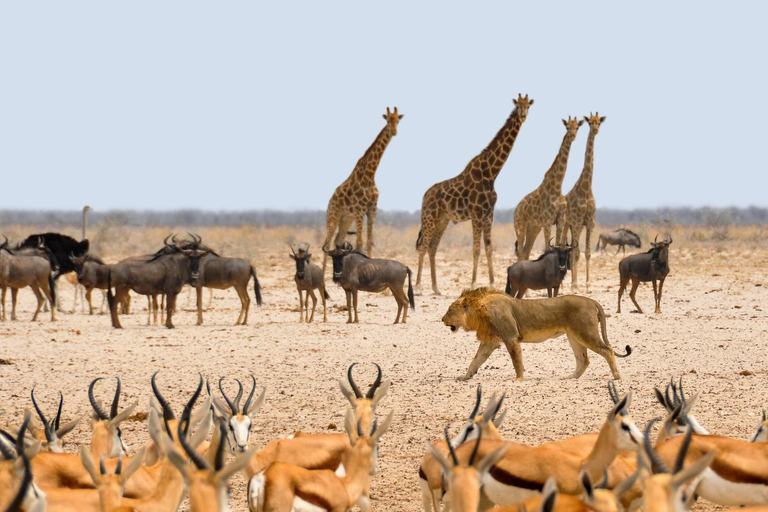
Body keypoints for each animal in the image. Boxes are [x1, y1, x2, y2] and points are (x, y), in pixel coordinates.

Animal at [320, 107, 402, 272]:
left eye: (398, 120)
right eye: (387, 120)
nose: (394, 131)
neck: (370, 175)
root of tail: (330, 200)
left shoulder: (372, 209)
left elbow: (369, 242)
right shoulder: (359, 210)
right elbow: (359, 243)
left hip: (346, 219)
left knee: (338, 241)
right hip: (333, 216)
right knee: (327, 242)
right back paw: (323, 275)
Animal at [414, 93, 536, 294]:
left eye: (529, 106)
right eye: (518, 106)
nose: (524, 116)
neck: (491, 173)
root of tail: (424, 196)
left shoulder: (488, 214)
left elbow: (489, 248)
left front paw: (492, 283)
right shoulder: (477, 213)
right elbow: (476, 249)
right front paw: (473, 283)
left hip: (442, 220)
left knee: (432, 247)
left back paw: (436, 288)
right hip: (429, 217)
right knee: (423, 246)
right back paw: (417, 287)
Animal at [440, 288, 632, 380]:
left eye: (449, 310)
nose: (442, 319)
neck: (480, 310)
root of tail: (592, 301)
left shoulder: (510, 337)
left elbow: (516, 360)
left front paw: (518, 379)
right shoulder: (490, 341)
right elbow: (476, 360)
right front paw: (465, 376)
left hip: (585, 333)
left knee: (608, 350)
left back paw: (616, 376)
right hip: (574, 336)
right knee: (583, 359)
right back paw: (571, 377)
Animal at [512, 114, 584, 262]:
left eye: (577, 127)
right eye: (567, 127)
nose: (572, 135)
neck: (557, 187)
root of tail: (516, 209)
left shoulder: (560, 220)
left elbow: (558, 244)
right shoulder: (547, 221)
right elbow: (548, 247)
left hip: (534, 227)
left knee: (526, 251)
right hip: (520, 225)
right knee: (521, 251)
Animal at [560, 114, 608, 294]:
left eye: (599, 122)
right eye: (590, 122)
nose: (595, 129)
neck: (586, 188)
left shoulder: (590, 223)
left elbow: (587, 252)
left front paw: (587, 285)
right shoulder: (577, 222)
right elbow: (575, 253)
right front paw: (575, 285)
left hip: (575, 226)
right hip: (566, 224)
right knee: (564, 246)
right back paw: (567, 284)